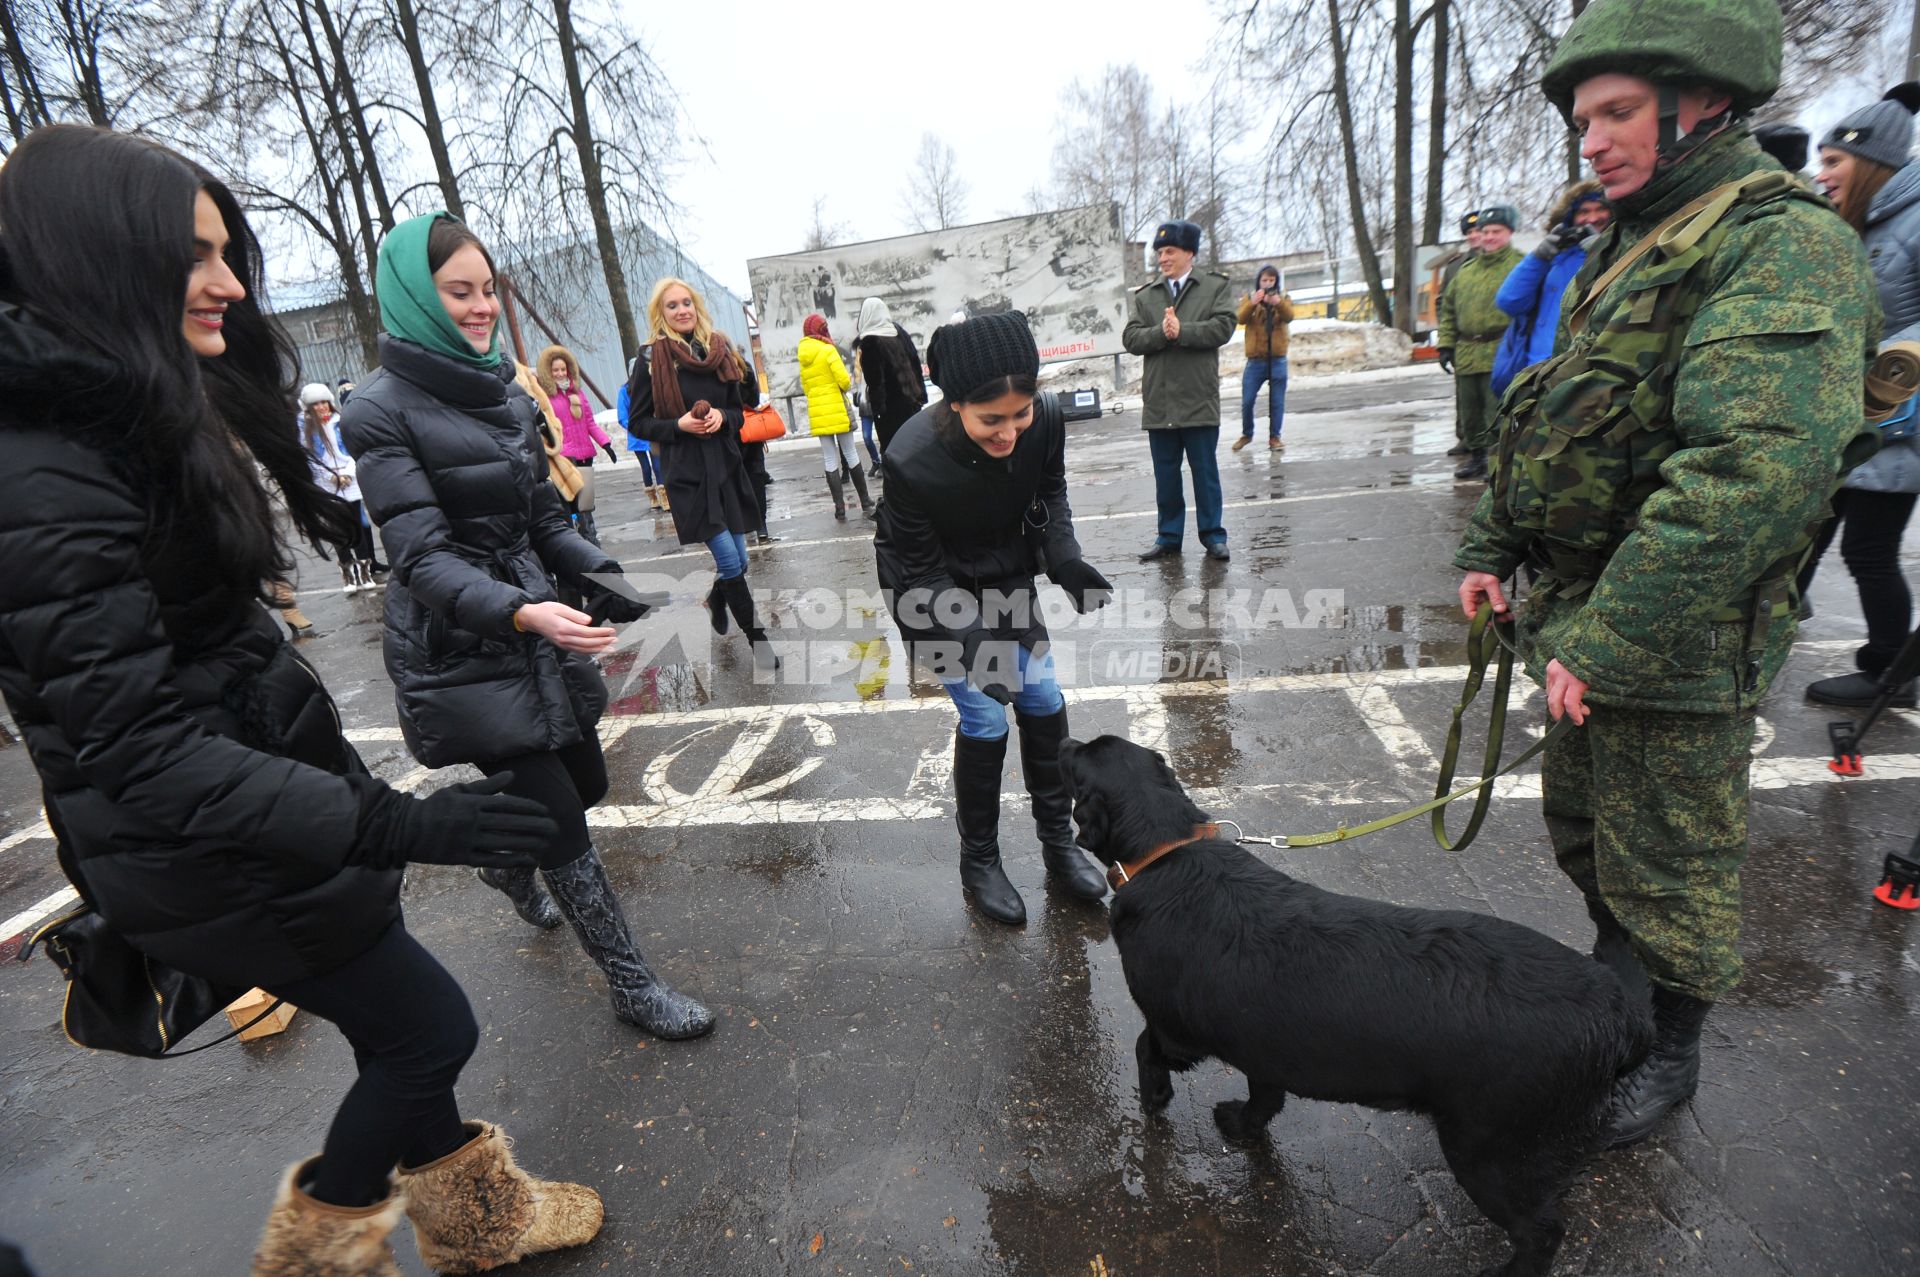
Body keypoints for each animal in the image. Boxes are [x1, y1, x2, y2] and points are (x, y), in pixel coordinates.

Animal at [1059, 733, 1658, 1275]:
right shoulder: (1263, 1047)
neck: (1168, 852)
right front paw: (1245, 1124)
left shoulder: (1173, 1028)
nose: (1061, 741)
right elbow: (1264, 1095)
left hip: (1491, 1153)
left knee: (1543, 1231)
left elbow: (1145, 1049)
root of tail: (1619, 1011)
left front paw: (1154, 1097)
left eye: (1078, 763)